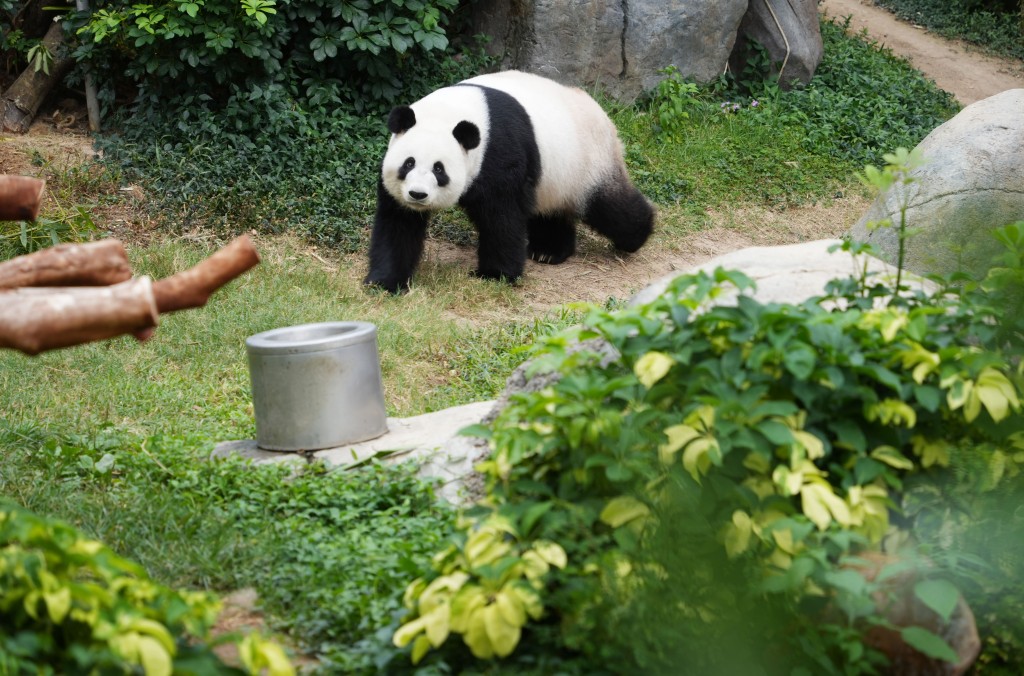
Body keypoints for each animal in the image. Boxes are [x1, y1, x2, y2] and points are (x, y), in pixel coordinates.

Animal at [368, 70, 655, 292]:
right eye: (409, 163)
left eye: (439, 169)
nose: (417, 194)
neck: (449, 112)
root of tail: (602, 112)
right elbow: (398, 223)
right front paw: (385, 282)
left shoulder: (498, 151)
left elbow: (502, 217)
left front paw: (495, 275)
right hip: (553, 177)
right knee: (551, 212)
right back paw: (549, 250)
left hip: (588, 161)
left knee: (609, 205)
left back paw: (636, 236)